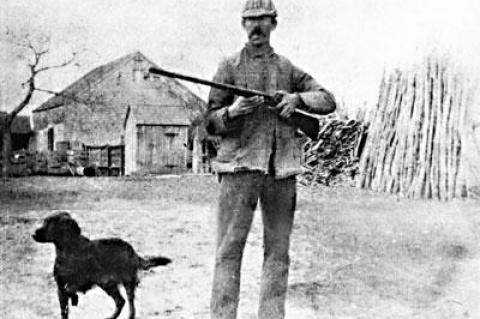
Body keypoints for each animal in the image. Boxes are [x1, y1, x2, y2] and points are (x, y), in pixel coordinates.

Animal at [31, 212, 171, 319]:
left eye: (49, 223)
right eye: (44, 221)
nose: (33, 233)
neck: (67, 250)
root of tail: (132, 250)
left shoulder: (82, 280)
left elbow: (70, 290)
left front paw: (75, 298)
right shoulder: (59, 288)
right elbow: (64, 308)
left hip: (125, 282)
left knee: (130, 305)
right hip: (107, 284)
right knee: (120, 301)